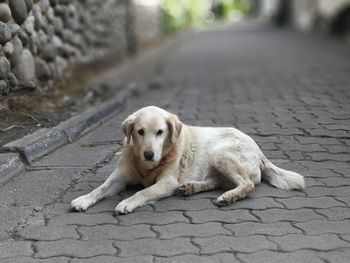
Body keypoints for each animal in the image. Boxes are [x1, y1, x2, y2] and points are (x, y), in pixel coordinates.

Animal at [70, 106, 304, 216]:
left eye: (160, 132)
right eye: (140, 132)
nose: (149, 154)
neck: (146, 167)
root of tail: (260, 151)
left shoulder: (166, 182)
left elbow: (142, 192)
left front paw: (127, 202)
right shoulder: (119, 178)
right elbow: (99, 189)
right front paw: (83, 199)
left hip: (220, 153)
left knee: (247, 185)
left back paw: (228, 197)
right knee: (215, 182)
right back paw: (191, 187)